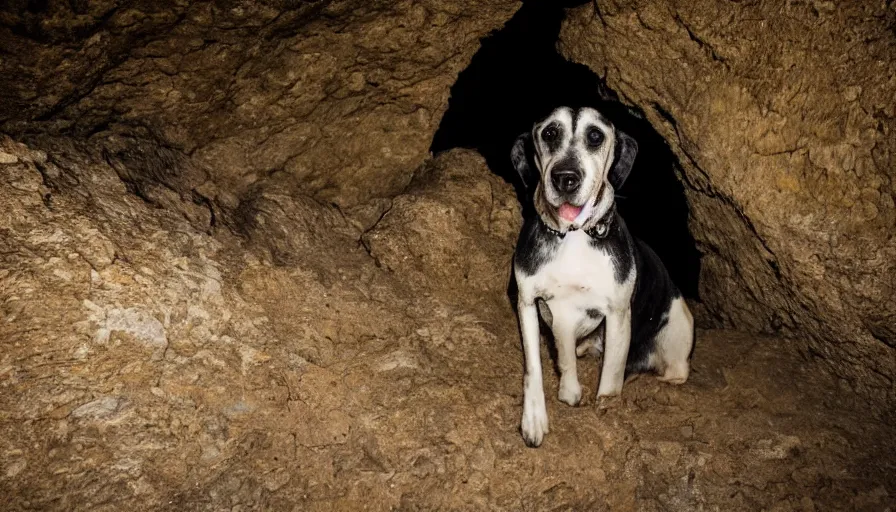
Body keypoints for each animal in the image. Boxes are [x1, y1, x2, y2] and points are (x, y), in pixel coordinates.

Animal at [512, 106, 692, 446]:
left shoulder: (617, 314)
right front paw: (534, 419)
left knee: (672, 372)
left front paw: (607, 406)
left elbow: (610, 376)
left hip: (679, 331)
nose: (565, 178)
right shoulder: (527, 302)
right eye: (549, 132)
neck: (573, 236)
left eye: (595, 136)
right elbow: (533, 367)